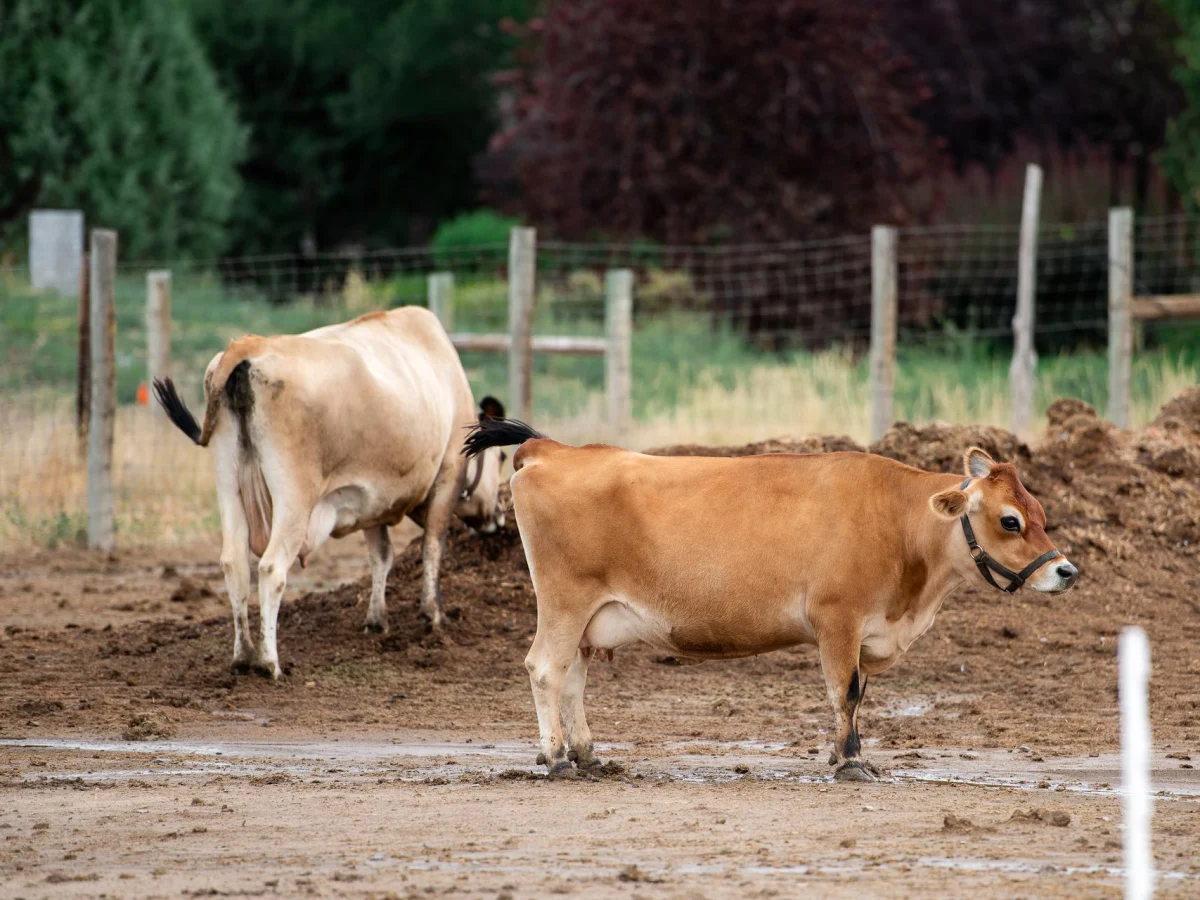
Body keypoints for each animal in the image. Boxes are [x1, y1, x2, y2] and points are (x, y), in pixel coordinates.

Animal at [154, 306, 507, 679]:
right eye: (501, 457)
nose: (499, 518)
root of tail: (249, 346)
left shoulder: (372, 500)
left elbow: (381, 556)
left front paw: (376, 620)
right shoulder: (447, 477)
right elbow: (433, 548)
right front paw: (434, 615)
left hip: (228, 484)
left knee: (234, 565)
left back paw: (243, 656)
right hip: (294, 498)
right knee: (271, 569)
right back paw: (269, 662)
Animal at [463, 419, 1078, 781]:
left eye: (1042, 512)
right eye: (1010, 520)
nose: (1068, 571)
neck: (898, 521)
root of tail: (554, 448)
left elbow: (858, 694)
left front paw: (842, 753)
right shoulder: (838, 619)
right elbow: (845, 692)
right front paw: (851, 763)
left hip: (590, 618)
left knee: (572, 678)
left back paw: (587, 754)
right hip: (564, 603)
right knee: (545, 668)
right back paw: (556, 758)